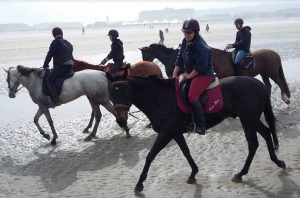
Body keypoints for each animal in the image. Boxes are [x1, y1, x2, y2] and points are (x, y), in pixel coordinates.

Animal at [108, 73, 286, 193]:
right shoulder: (175, 132)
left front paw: (139, 184)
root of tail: (259, 84)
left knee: (253, 143)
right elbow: (186, 152)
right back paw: (277, 161)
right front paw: (193, 173)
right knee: (266, 133)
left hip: (248, 119)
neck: (160, 99)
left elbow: (151, 155)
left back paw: (241, 173)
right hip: (251, 118)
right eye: (111, 94)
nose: (121, 121)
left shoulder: (166, 133)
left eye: (123, 92)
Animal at [141, 44, 290, 104]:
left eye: (145, 54)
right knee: (269, 85)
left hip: (272, 73)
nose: (145, 64)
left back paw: (286, 99)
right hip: (265, 73)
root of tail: (274, 53)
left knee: (280, 83)